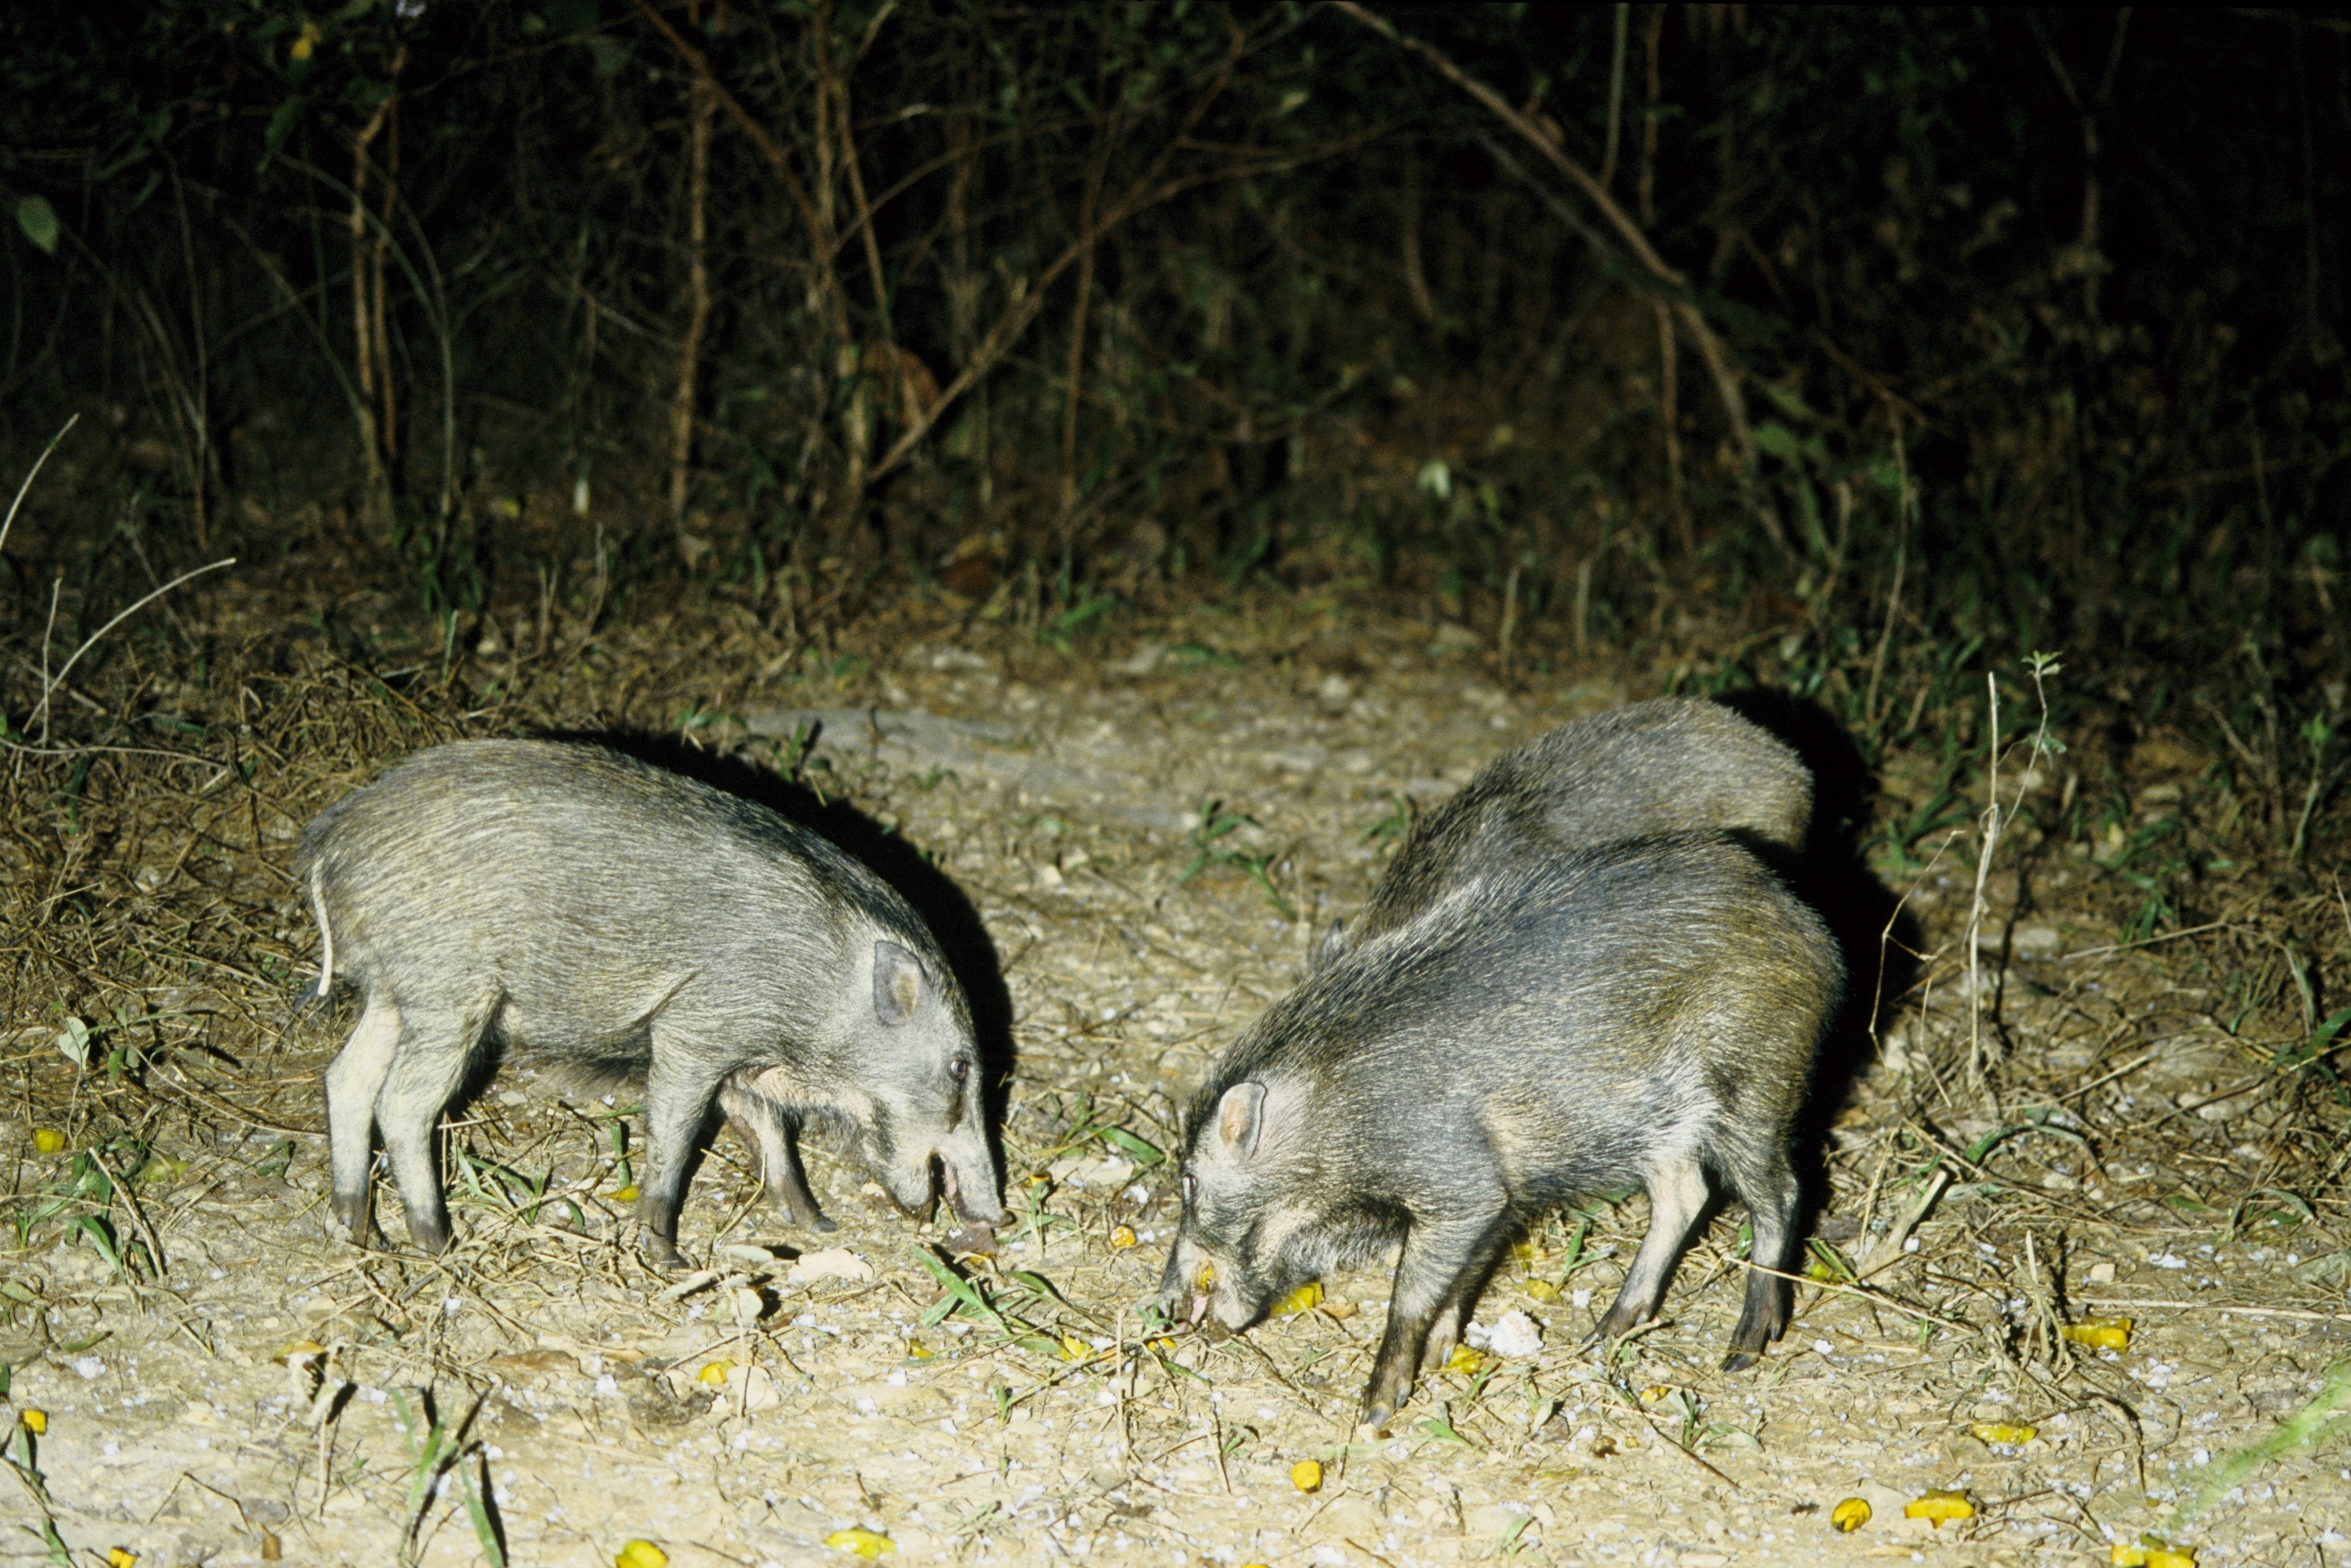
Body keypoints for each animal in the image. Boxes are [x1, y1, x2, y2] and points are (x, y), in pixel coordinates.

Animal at [293, 742, 1001, 1269]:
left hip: (395, 996)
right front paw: (668, 1259)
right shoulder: (696, 1029)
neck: (823, 993)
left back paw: (362, 1233)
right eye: (961, 1067)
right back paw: (439, 1245)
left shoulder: (741, 1062)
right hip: (451, 994)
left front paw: (816, 1224)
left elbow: (770, 1134)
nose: (994, 1221)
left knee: (345, 1078)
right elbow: (676, 1139)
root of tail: (328, 844)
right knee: (401, 1102)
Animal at [1156, 832, 1834, 1438]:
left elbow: (1410, 1294)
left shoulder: (1459, 1185)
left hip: (1752, 1084)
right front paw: (1439, 1357)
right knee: (1684, 1196)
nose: (1163, 1306)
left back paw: (1743, 1348)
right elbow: (1463, 1276)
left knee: (1777, 1192)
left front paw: (1374, 1413)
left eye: (1189, 1178)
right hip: (1660, 1127)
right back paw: (1600, 1337)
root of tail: (1805, 924)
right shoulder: (1503, 1192)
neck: (1331, 1118)